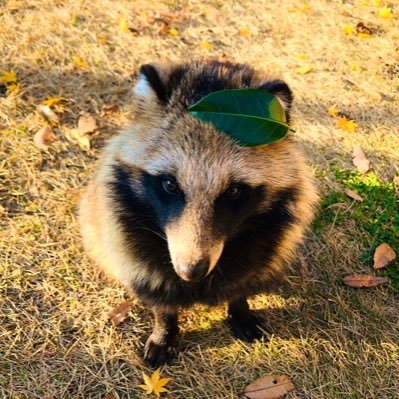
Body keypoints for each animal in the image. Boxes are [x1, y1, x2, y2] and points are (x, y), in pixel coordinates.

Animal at [79, 60, 318, 368]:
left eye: (234, 192)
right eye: (169, 184)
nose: (190, 271)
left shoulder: (266, 236)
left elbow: (244, 279)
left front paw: (240, 308)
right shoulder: (128, 232)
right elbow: (156, 288)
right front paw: (164, 328)